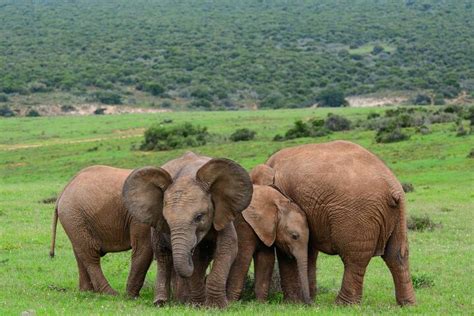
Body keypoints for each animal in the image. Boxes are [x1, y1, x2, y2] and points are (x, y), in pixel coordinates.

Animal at [50, 164, 154, 298]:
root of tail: (65, 188)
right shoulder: (141, 215)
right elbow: (144, 247)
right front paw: (131, 297)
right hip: (74, 215)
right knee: (90, 253)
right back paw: (111, 293)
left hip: (75, 219)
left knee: (80, 252)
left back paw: (87, 291)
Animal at [124, 152, 254, 308]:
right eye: (166, 220)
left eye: (199, 217)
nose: (190, 251)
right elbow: (195, 260)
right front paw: (198, 305)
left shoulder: (222, 211)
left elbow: (228, 246)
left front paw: (216, 307)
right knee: (163, 256)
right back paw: (162, 303)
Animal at [252, 141, 414, 306]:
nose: (309, 304)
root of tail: (393, 188)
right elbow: (308, 251)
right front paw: (305, 300)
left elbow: (287, 253)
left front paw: (292, 303)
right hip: (399, 213)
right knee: (397, 255)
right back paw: (406, 304)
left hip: (358, 214)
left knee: (354, 258)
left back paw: (343, 304)